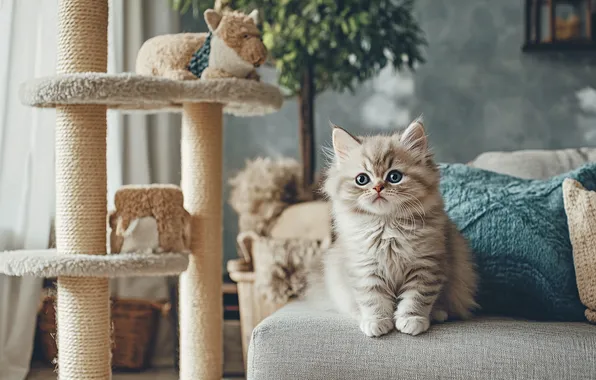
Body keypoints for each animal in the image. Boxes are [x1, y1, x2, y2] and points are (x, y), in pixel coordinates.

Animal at [310, 118, 478, 336]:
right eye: (362, 179)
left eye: (394, 177)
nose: (378, 188)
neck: (387, 227)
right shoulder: (365, 268)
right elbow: (373, 299)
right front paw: (376, 321)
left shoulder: (426, 265)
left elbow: (416, 298)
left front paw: (411, 320)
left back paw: (437, 314)